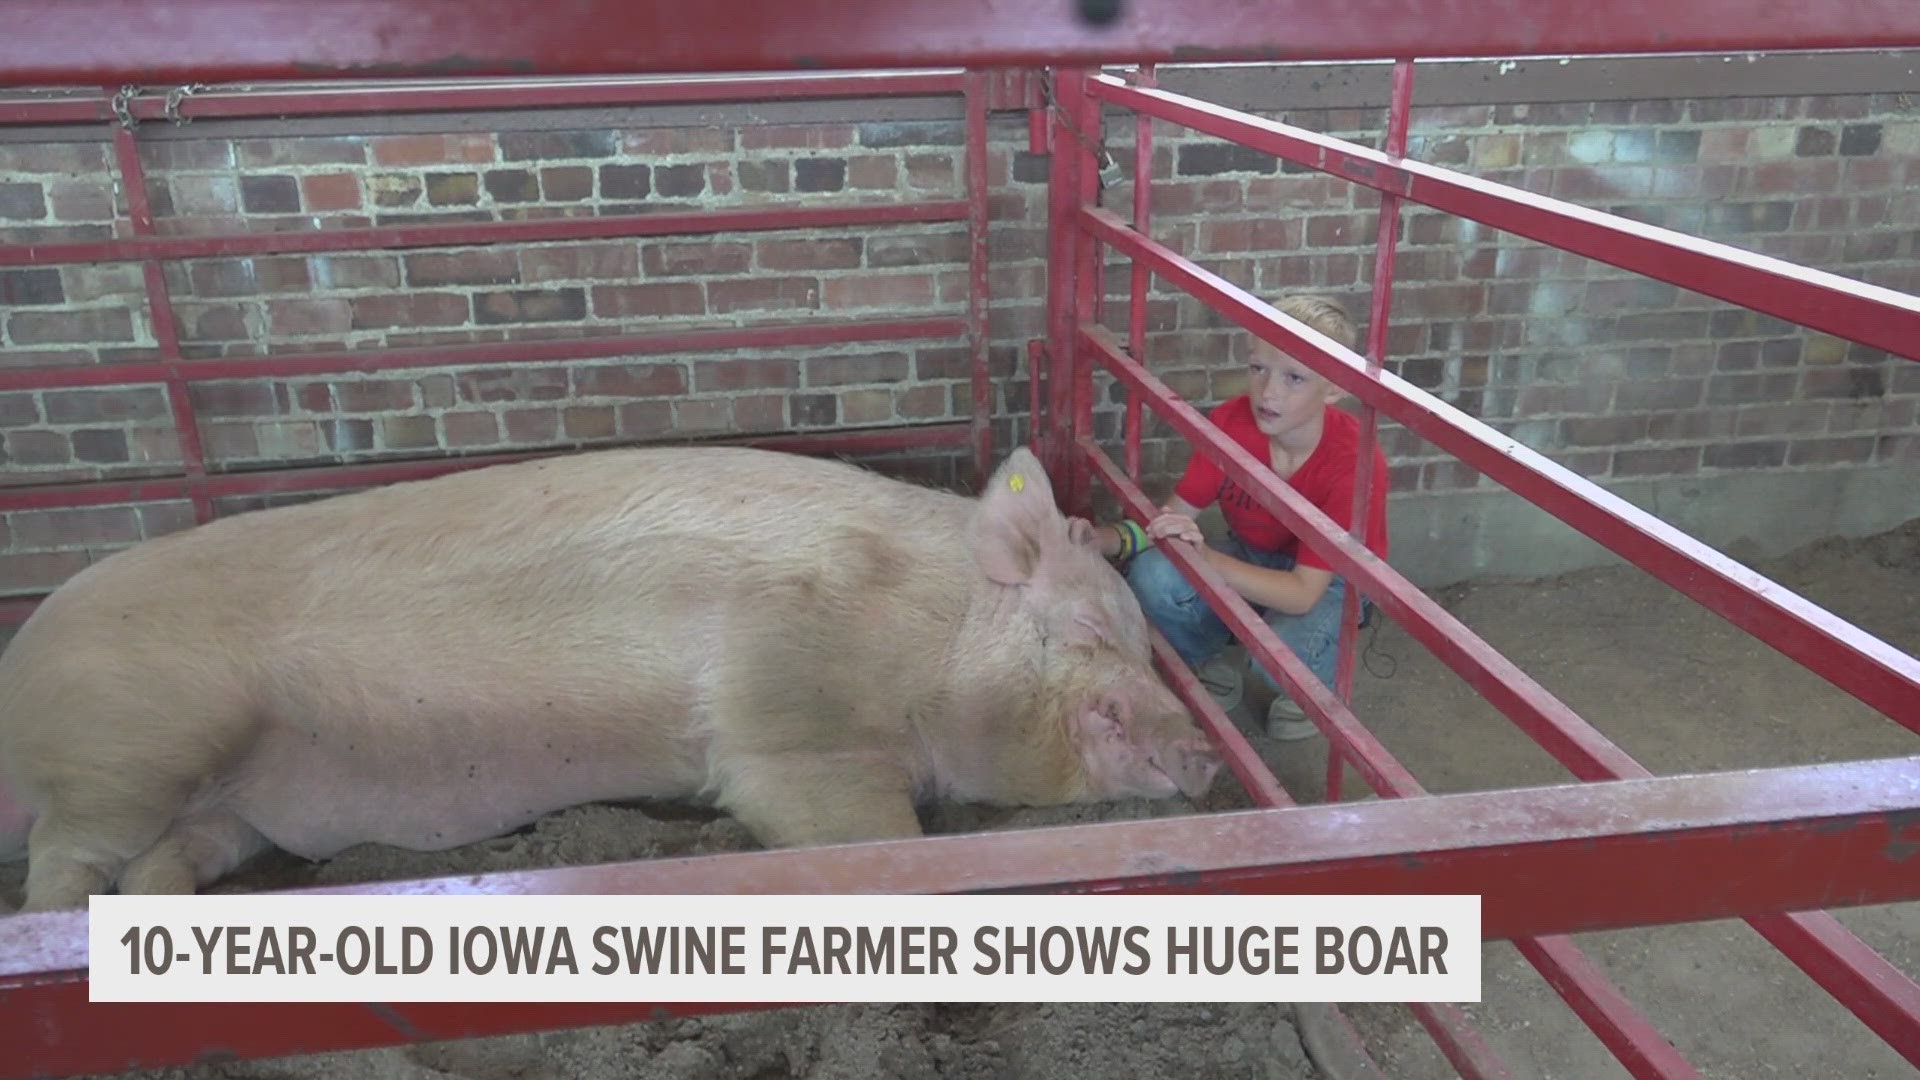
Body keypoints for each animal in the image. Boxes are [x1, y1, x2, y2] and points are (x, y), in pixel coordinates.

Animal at [0, 441, 1221, 903]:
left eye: (1146, 640)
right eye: (1093, 630)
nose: (1207, 747)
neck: (926, 635)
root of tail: (19, 663)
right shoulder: (789, 724)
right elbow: (878, 842)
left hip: (230, 809)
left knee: (160, 866)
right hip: (134, 740)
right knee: (64, 862)